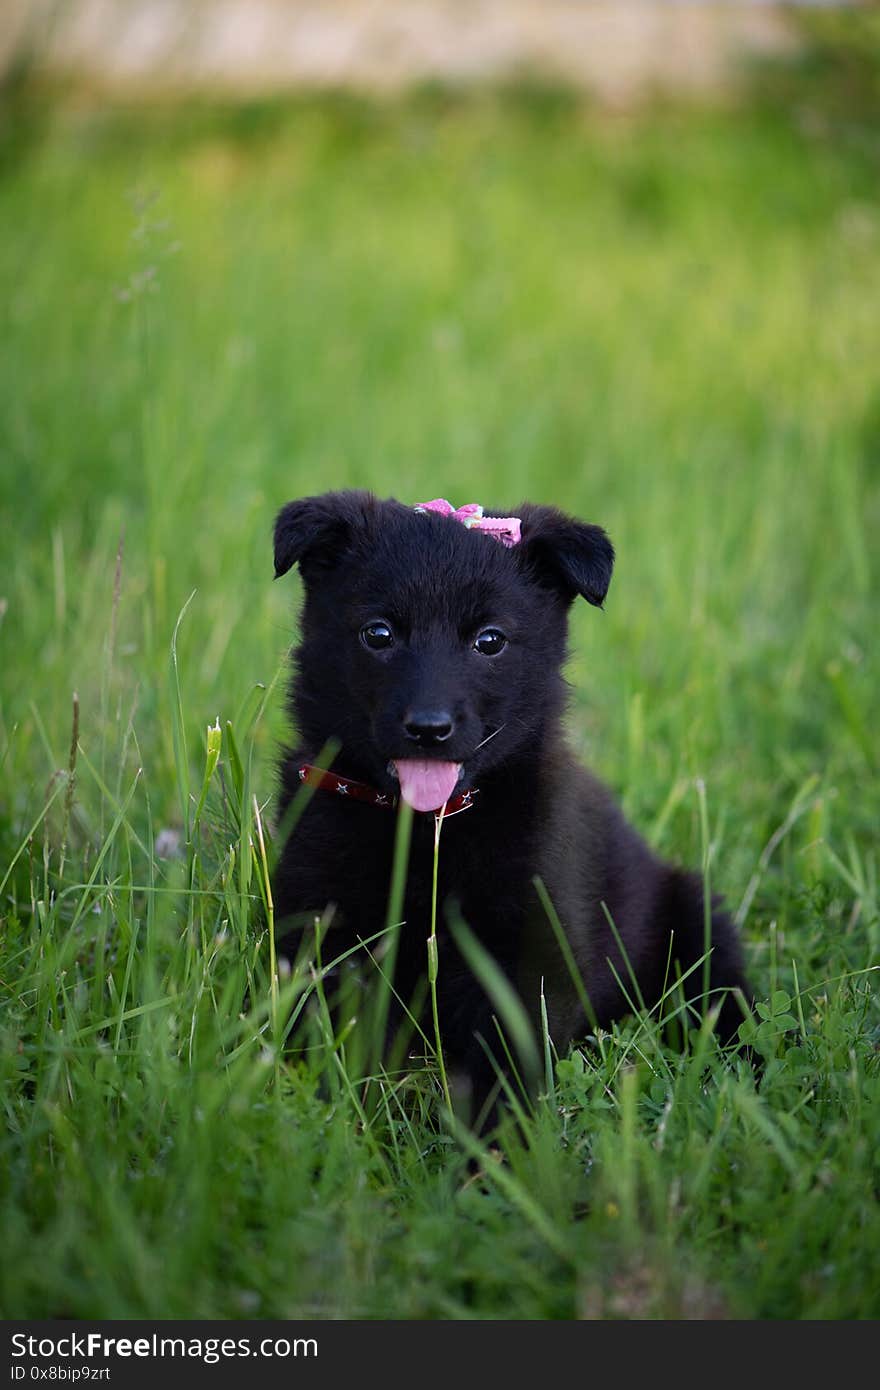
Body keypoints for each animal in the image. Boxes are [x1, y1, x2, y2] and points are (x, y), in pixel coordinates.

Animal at [269, 489, 750, 1117]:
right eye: (378, 634)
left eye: (490, 640)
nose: (429, 729)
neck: (428, 831)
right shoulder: (317, 926)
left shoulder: (530, 948)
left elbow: (510, 1066)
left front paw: (500, 1142)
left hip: (696, 924)